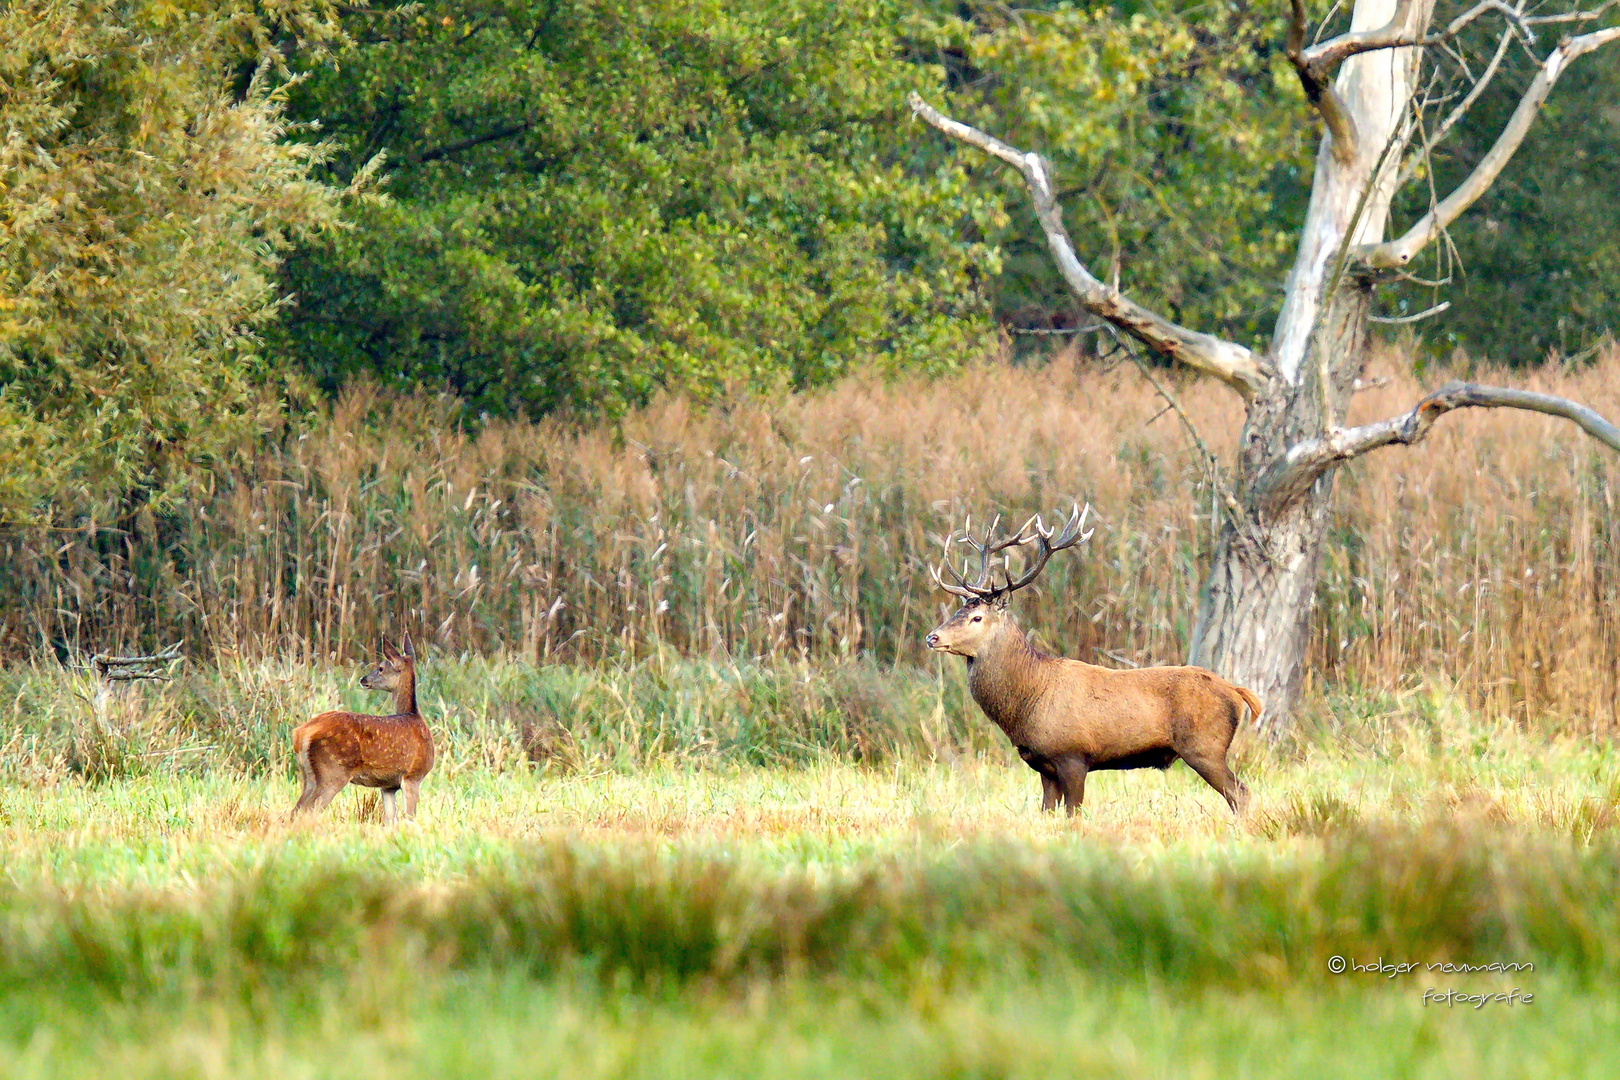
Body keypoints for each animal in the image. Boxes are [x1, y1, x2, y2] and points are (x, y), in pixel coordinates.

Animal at [289, 637, 430, 822]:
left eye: (381, 668)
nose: (363, 679)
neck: (415, 716)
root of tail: (301, 733)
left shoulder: (388, 786)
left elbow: (392, 820)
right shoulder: (413, 775)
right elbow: (409, 819)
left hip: (309, 776)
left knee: (294, 812)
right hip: (332, 771)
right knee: (308, 811)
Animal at [933, 508, 1257, 819]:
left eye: (977, 618)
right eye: (958, 611)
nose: (932, 637)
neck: (1030, 699)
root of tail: (1236, 691)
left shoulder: (1073, 755)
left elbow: (1073, 814)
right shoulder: (1044, 766)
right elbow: (1047, 813)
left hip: (1205, 747)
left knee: (1240, 792)